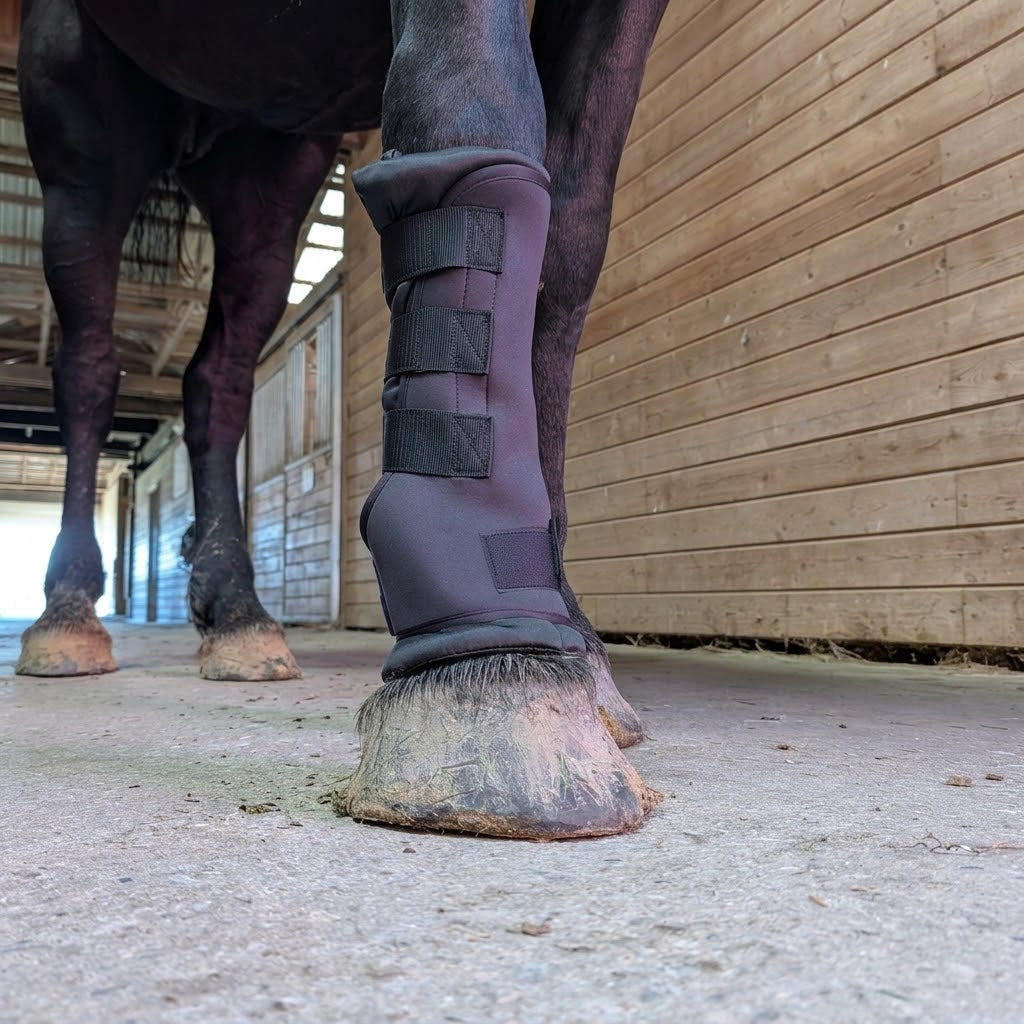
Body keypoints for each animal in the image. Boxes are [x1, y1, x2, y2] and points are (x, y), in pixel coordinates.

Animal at [15, 0, 669, 839]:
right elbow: (473, 106)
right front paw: (497, 669)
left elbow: (569, 243)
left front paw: (574, 644)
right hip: (83, 124)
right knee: (90, 367)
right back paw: (66, 614)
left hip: (266, 156)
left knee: (218, 377)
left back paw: (237, 616)